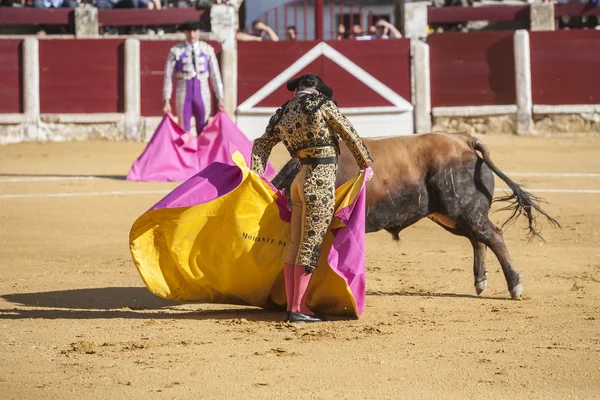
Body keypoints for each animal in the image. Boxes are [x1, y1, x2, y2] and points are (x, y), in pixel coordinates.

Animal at [274, 132, 560, 300]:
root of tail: (463, 140)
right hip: (452, 215)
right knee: (478, 239)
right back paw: (480, 281)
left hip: (463, 208)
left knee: (494, 236)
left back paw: (514, 286)